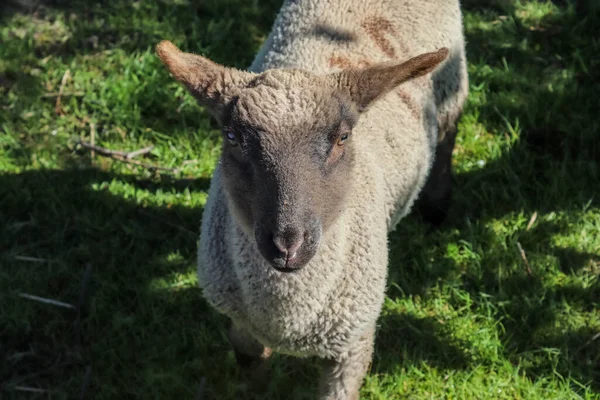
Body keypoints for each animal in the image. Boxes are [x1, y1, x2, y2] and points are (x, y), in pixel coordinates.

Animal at [157, 0, 466, 396]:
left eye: (343, 138)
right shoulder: (241, 318)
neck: (287, 317)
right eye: (232, 137)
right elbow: (248, 357)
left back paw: (436, 208)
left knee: (447, 135)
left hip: (451, 82)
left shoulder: (353, 340)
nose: (287, 243)